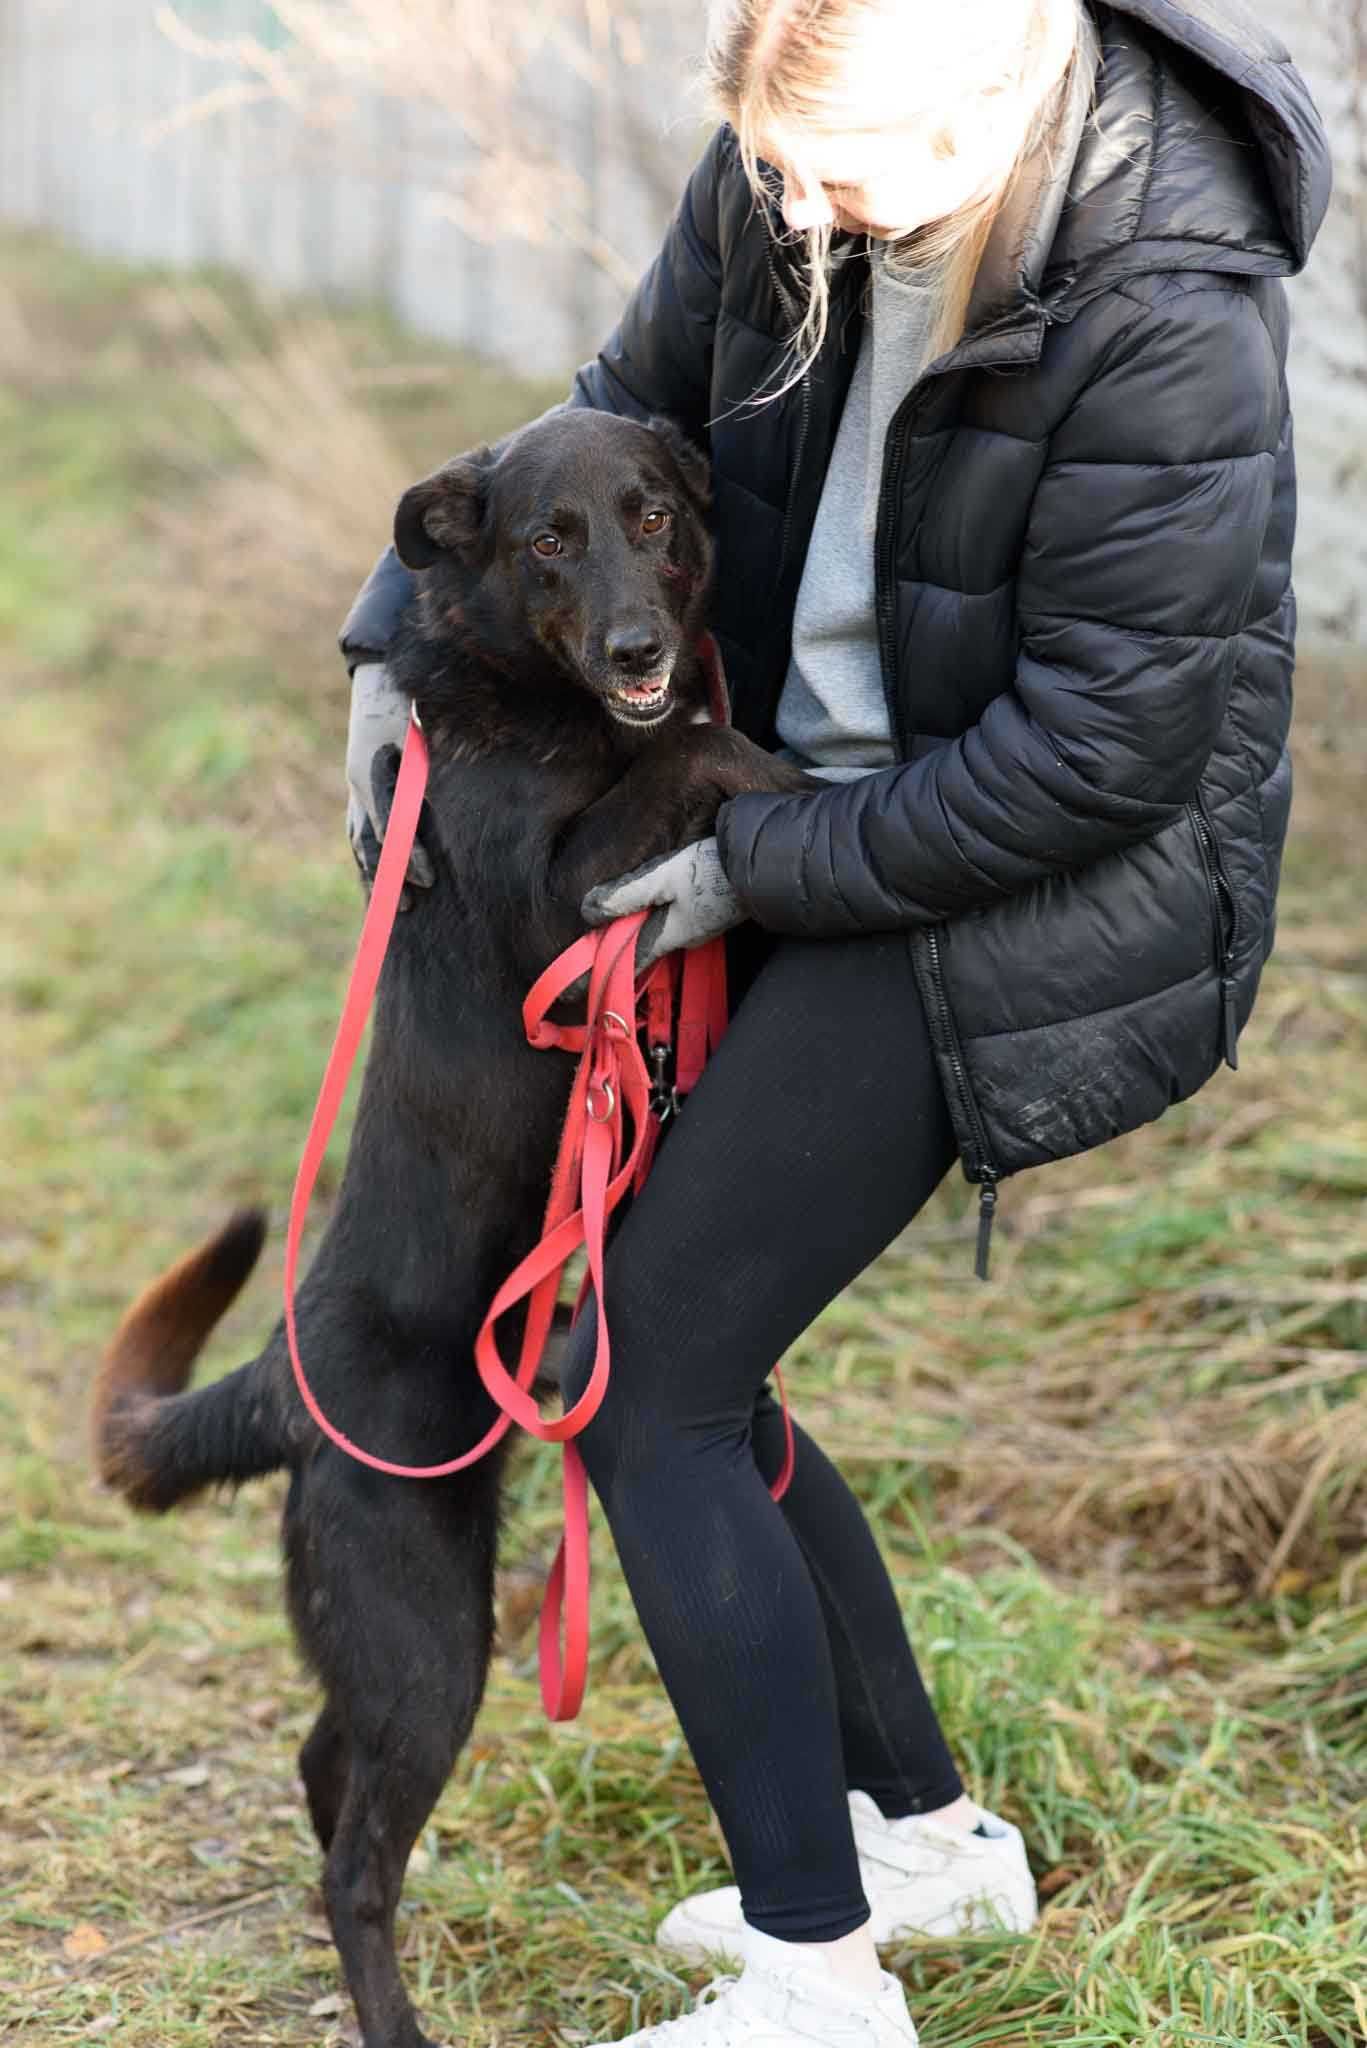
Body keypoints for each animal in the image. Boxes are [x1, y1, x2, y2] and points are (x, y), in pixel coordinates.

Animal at [93, 403, 811, 2048]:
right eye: (549, 537)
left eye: (650, 515)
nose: (635, 644)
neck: (534, 696)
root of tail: (278, 1381)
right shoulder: (563, 904)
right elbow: (701, 747)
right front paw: (776, 771)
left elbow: (686, 745)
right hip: (428, 1636)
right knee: (354, 1859)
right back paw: (393, 2015)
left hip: (399, 1625)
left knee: (322, 1765)